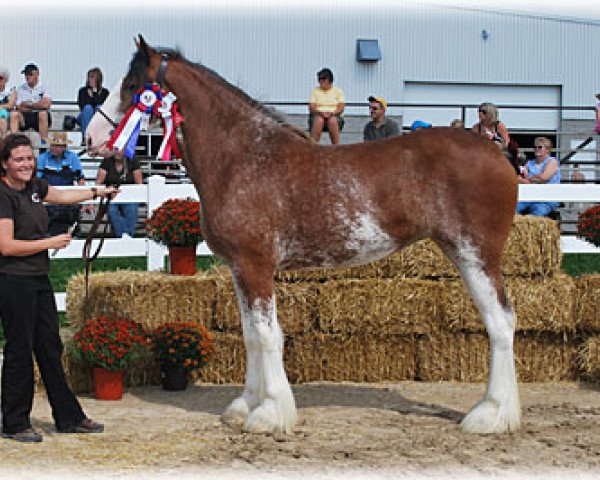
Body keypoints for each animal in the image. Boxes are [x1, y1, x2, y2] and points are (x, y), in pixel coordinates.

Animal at [86, 36, 524, 436]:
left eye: (132, 86)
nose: (91, 137)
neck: (243, 157)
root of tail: (495, 153)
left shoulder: (256, 265)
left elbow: (267, 336)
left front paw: (269, 413)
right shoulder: (239, 269)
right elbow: (250, 335)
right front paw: (245, 406)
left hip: (475, 255)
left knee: (500, 323)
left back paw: (491, 415)